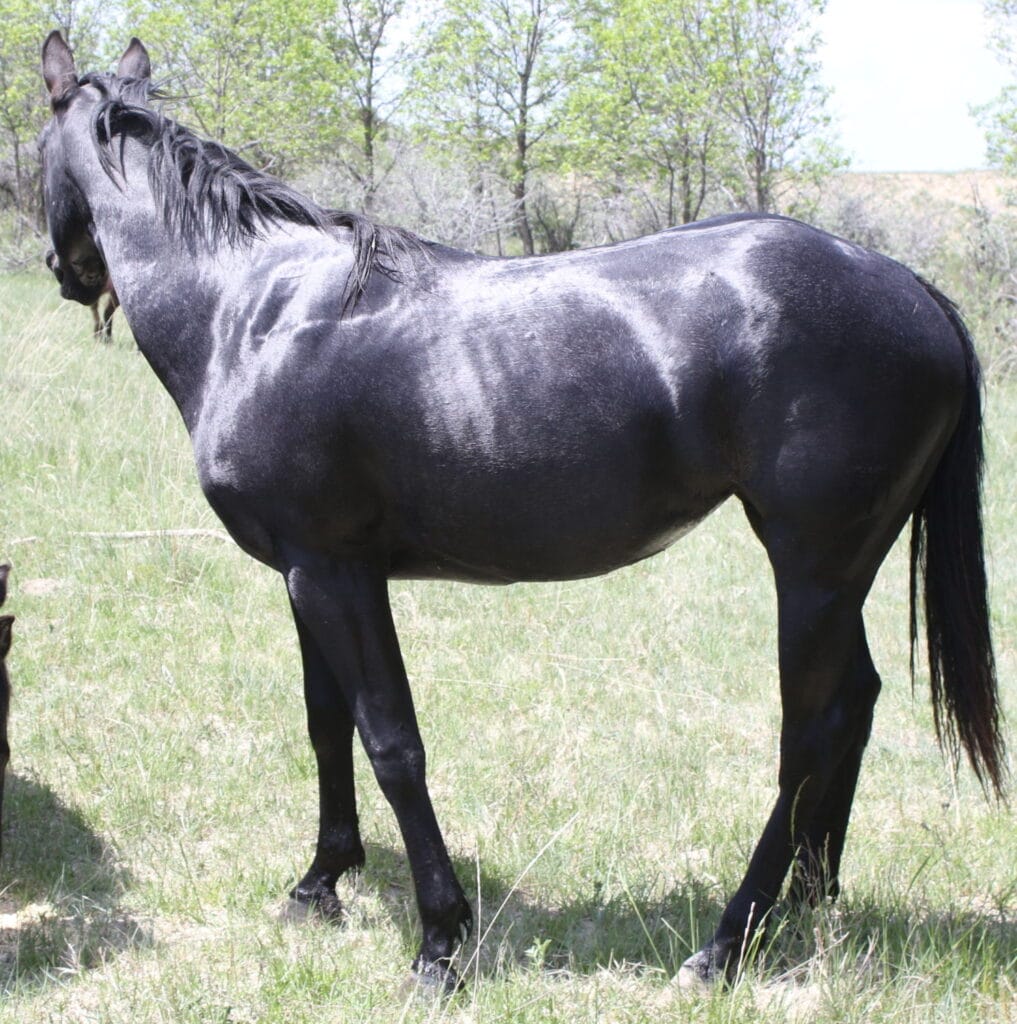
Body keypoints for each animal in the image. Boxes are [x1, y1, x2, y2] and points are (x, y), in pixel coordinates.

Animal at [38, 32, 1004, 990]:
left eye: (34, 147)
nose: (62, 274)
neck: (256, 309)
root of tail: (911, 289)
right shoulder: (303, 571)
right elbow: (326, 724)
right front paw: (318, 884)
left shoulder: (334, 571)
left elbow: (390, 741)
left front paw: (439, 939)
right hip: (838, 576)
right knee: (856, 702)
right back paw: (808, 897)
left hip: (811, 568)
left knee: (811, 729)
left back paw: (727, 942)